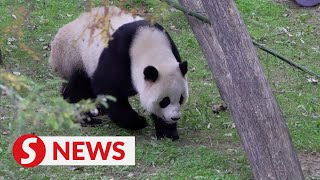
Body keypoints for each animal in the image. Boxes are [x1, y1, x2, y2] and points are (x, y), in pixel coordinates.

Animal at [49, 6, 189, 140]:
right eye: (165, 101)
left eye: (181, 99)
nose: (175, 117)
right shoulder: (120, 54)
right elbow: (108, 89)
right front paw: (139, 122)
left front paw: (168, 132)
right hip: (74, 56)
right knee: (78, 87)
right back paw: (85, 117)